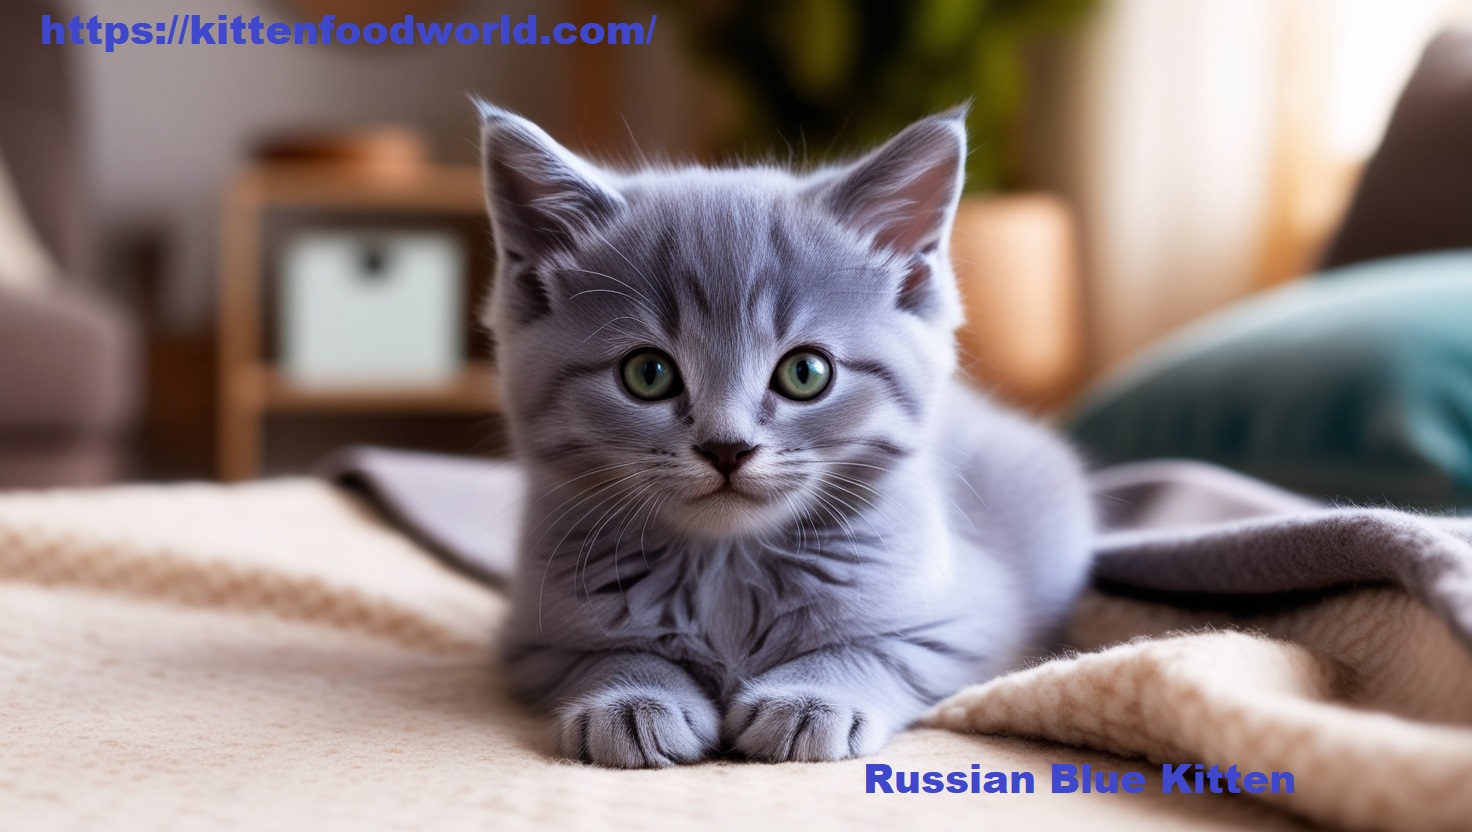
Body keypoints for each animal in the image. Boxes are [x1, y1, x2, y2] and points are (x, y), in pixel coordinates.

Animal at [473, 102, 1095, 765]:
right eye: (647, 373)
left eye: (805, 373)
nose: (726, 447)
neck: (724, 566)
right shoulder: (535, 640)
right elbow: (603, 653)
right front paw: (632, 698)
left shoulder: (974, 624)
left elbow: (880, 648)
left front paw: (813, 699)